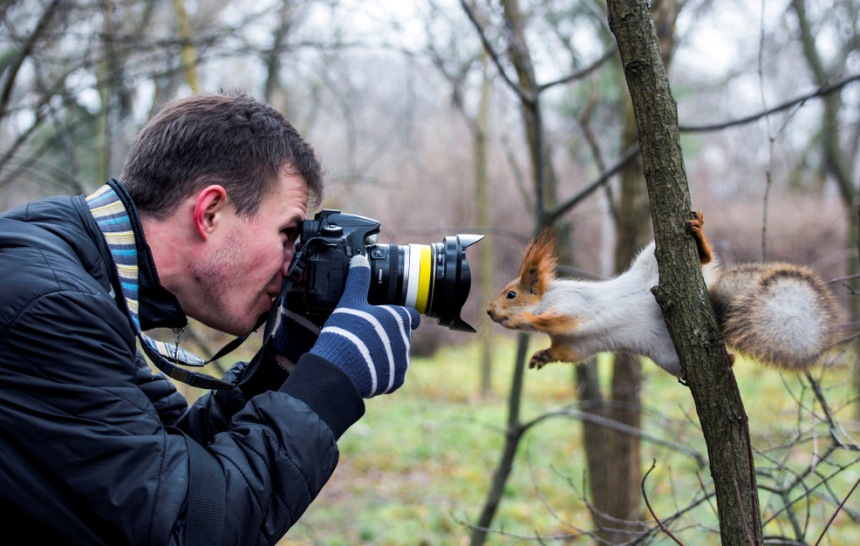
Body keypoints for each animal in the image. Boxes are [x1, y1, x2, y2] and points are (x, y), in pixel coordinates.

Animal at [488, 210, 844, 376]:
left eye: (511, 294)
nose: (490, 312)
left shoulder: (572, 306)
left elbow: (560, 318)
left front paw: (527, 318)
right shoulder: (575, 344)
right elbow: (564, 352)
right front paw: (541, 356)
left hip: (656, 258)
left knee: (705, 258)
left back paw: (698, 236)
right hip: (668, 358)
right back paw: (726, 359)